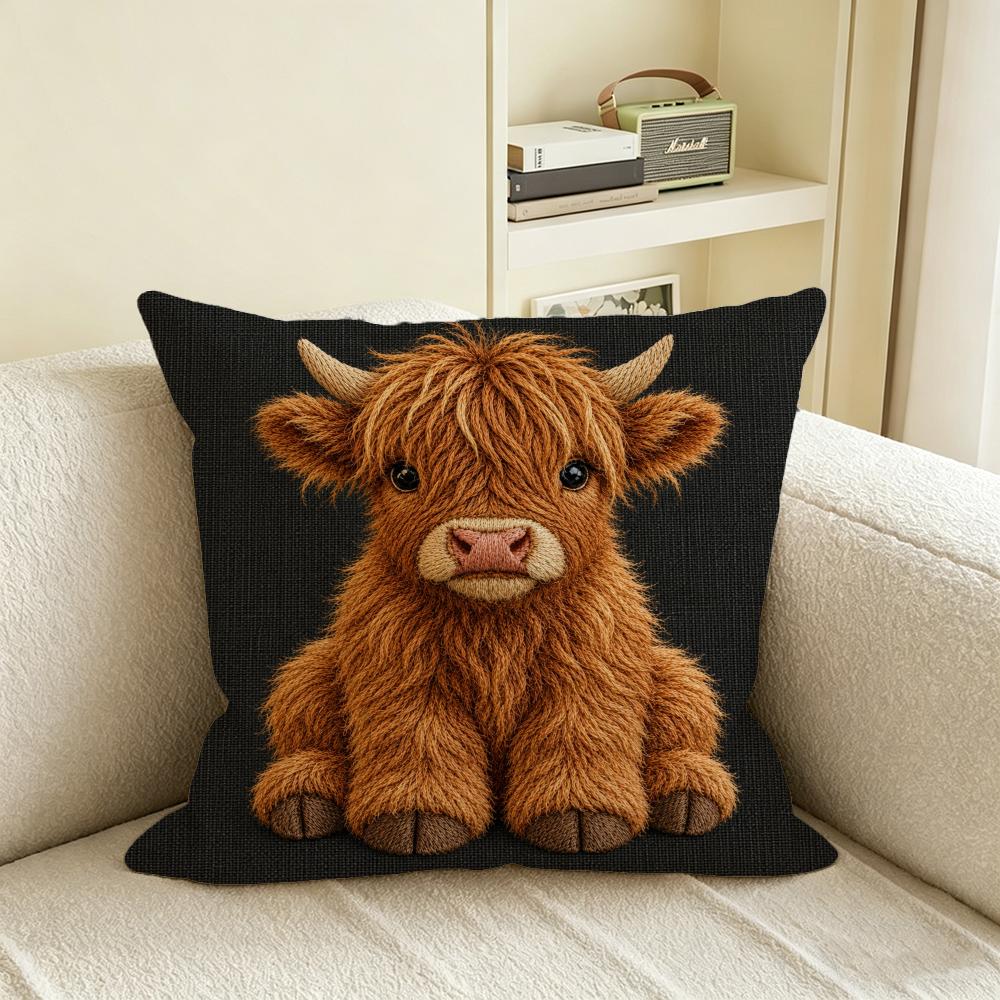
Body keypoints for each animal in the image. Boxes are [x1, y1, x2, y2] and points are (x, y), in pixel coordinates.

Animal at [249, 326, 737, 855]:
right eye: (404, 475)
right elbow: (419, 735)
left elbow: (579, 729)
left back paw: (687, 791)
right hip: (314, 666)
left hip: (670, 667)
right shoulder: (398, 669)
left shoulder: (594, 664)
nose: (490, 544)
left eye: (575, 473)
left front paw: (581, 813)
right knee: (304, 709)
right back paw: (304, 794)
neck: (496, 622)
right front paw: (417, 815)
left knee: (686, 708)